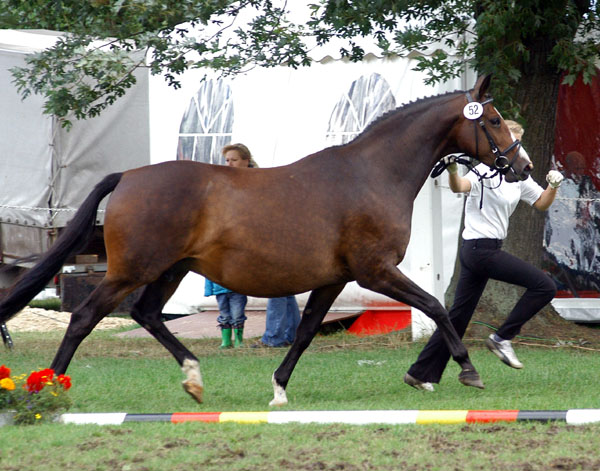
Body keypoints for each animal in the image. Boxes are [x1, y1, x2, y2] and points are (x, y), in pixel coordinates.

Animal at [0, 75, 536, 408]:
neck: (373, 175)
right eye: (492, 120)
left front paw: (278, 389)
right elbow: (436, 306)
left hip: (171, 269)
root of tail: (128, 176)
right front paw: (468, 370)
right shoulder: (376, 271)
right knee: (85, 317)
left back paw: (194, 379)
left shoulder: (334, 279)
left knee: (146, 314)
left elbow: (305, 332)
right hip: (133, 269)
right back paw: (48, 390)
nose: (523, 166)